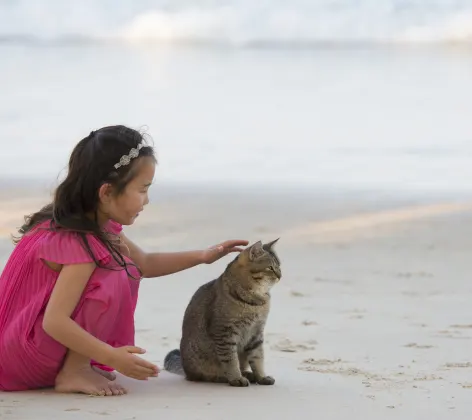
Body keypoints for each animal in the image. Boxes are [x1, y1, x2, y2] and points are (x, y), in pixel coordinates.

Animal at [164, 240, 280, 388]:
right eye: (270, 268)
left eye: (279, 266)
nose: (280, 275)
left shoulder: (256, 333)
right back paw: (232, 377)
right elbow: (231, 360)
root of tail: (185, 371)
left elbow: (258, 358)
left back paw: (249, 375)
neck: (256, 302)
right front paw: (236, 378)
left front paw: (262, 376)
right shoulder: (224, 333)